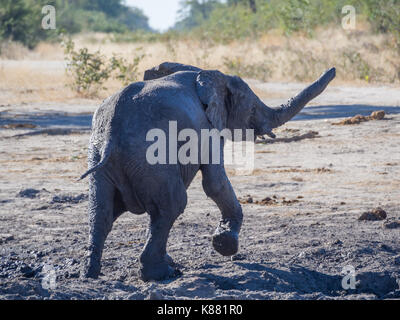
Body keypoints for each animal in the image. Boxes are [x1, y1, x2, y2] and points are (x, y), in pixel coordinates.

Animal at [79, 62, 336, 280]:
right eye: (252, 108)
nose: (332, 69)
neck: (206, 73)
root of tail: (112, 132)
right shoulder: (209, 129)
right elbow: (215, 183)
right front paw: (224, 244)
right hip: (149, 155)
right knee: (171, 205)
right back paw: (163, 274)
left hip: (100, 154)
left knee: (101, 212)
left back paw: (90, 273)